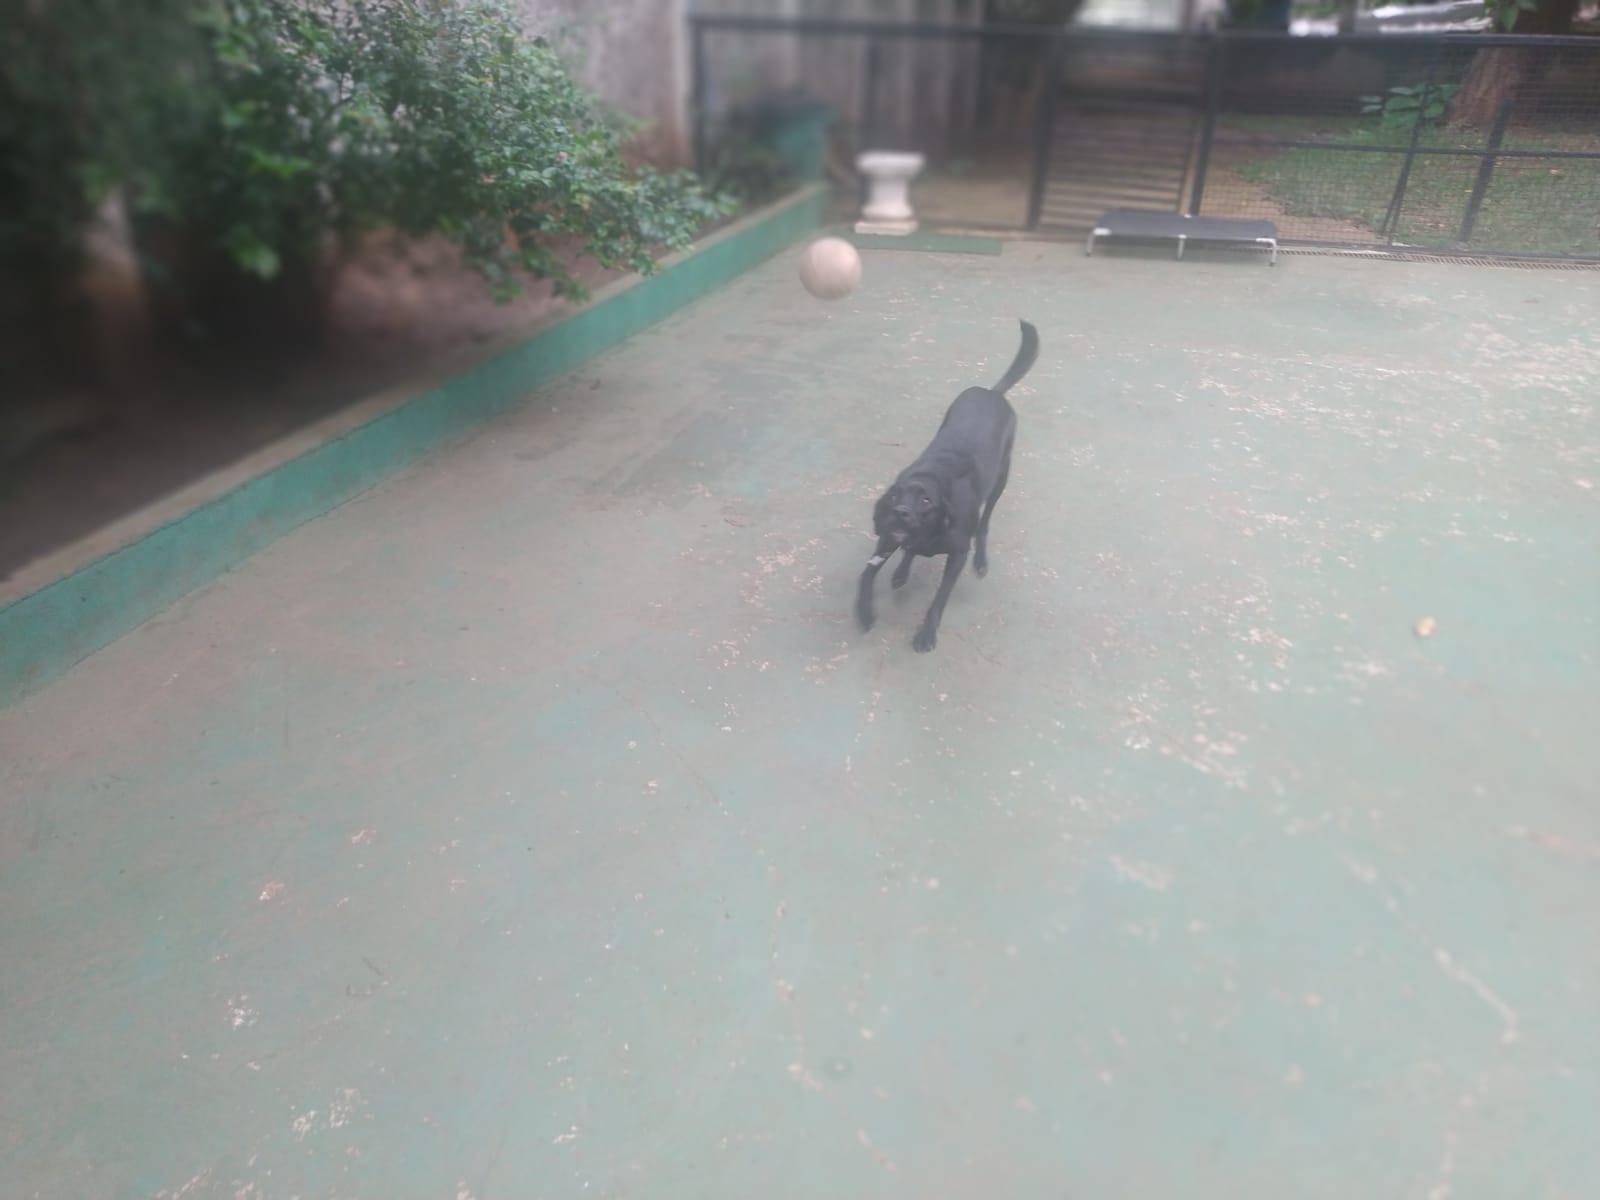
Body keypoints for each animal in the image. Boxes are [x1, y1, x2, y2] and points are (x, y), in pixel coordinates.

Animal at [856, 319, 1039, 653]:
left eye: (926, 500)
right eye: (895, 496)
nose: (901, 512)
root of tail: (992, 393)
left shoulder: (957, 556)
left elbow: (939, 598)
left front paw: (926, 633)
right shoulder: (888, 537)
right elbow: (867, 573)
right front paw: (864, 611)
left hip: (1000, 481)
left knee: (985, 523)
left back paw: (981, 559)